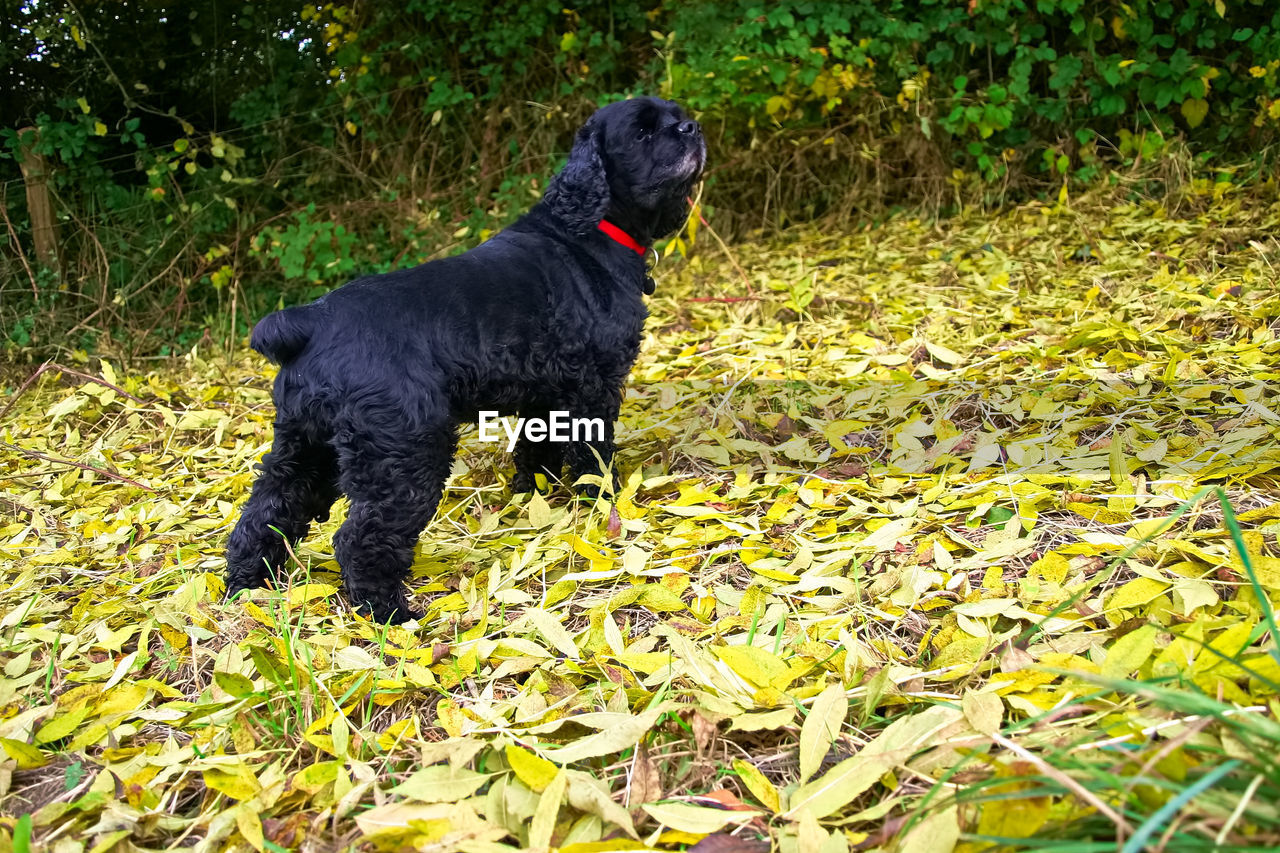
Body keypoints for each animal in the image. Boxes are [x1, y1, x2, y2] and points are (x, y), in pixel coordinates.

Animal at [230, 97, 711, 617]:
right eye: (643, 132)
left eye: (675, 114)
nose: (692, 127)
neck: (586, 228)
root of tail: (312, 322)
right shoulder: (593, 388)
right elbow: (592, 454)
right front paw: (603, 501)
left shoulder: (545, 395)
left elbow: (535, 452)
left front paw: (533, 498)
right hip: (404, 455)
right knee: (359, 538)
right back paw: (389, 614)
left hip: (304, 448)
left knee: (264, 515)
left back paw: (247, 588)